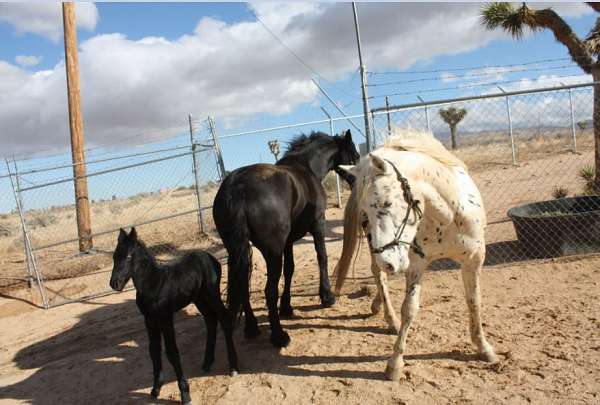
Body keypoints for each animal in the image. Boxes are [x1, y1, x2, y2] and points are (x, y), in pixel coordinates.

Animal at [110, 227, 237, 404]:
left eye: (128, 256)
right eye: (114, 256)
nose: (114, 284)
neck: (152, 284)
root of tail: (210, 257)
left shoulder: (166, 318)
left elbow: (172, 352)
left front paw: (185, 394)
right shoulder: (149, 320)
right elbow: (154, 351)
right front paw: (155, 390)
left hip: (211, 293)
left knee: (224, 318)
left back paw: (233, 367)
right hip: (198, 298)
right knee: (210, 320)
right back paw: (206, 363)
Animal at [213, 130, 358, 348]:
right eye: (355, 155)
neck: (306, 166)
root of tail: (237, 188)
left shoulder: (288, 240)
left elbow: (290, 269)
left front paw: (287, 307)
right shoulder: (318, 224)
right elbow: (321, 257)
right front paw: (327, 296)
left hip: (237, 251)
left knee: (243, 285)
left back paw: (252, 328)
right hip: (272, 253)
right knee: (269, 291)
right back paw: (279, 336)